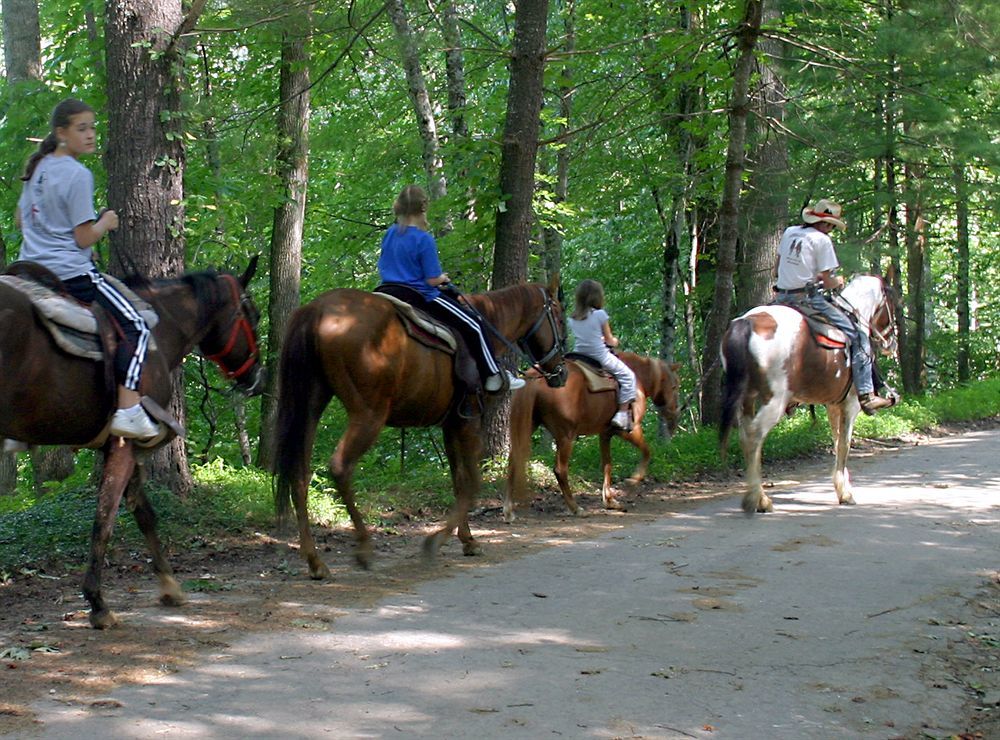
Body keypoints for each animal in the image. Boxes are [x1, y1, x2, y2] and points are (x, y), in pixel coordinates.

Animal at [0, 258, 266, 628]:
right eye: (253, 314)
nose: (258, 378)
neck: (160, 328)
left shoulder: (126, 445)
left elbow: (144, 513)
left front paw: (169, 585)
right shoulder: (125, 444)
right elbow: (105, 518)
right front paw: (97, 603)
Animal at [274, 274, 568, 576]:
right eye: (558, 317)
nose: (561, 372)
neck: (487, 320)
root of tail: (317, 309)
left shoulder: (452, 424)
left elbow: (458, 481)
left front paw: (467, 539)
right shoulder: (470, 421)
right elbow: (472, 482)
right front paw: (437, 540)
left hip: (311, 406)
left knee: (299, 473)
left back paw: (315, 561)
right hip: (369, 414)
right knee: (340, 467)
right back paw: (364, 547)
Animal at [720, 274, 900, 516]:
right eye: (891, 305)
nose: (892, 343)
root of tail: (745, 324)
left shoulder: (833, 405)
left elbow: (836, 441)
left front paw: (842, 487)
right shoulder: (851, 405)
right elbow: (844, 444)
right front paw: (846, 494)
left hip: (747, 399)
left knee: (745, 437)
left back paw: (761, 498)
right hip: (774, 401)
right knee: (754, 436)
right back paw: (755, 499)